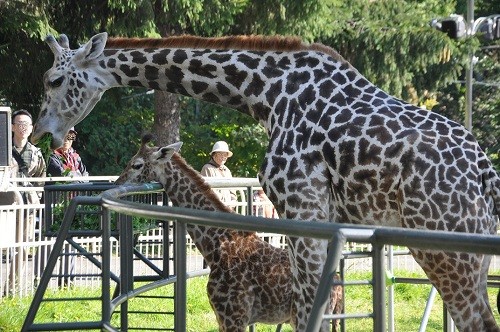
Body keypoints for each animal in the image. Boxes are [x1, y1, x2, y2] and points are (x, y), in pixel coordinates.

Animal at [114, 135, 342, 332]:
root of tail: (338, 285)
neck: (216, 245)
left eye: (136, 164)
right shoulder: (223, 318)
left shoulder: (233, 316)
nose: (117, 183)